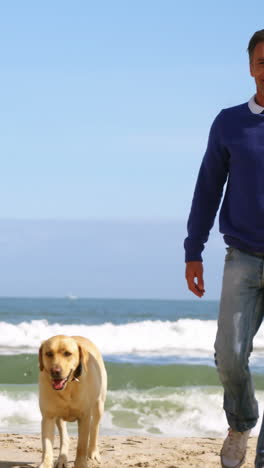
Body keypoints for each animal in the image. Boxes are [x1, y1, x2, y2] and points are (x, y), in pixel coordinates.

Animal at [37, 334, 107, 468]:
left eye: (67, 353)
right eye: (48, 353)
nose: (55, 371)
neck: (68, 387)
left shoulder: (84, 417)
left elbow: (82, 445)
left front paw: (81, 464)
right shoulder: (48, 416)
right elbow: (47, 445)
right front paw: (46, 463)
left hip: (99, 404)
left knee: (94, 429)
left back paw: (93, 453)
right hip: (58, 415)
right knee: (65, 437)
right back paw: (62, 459)